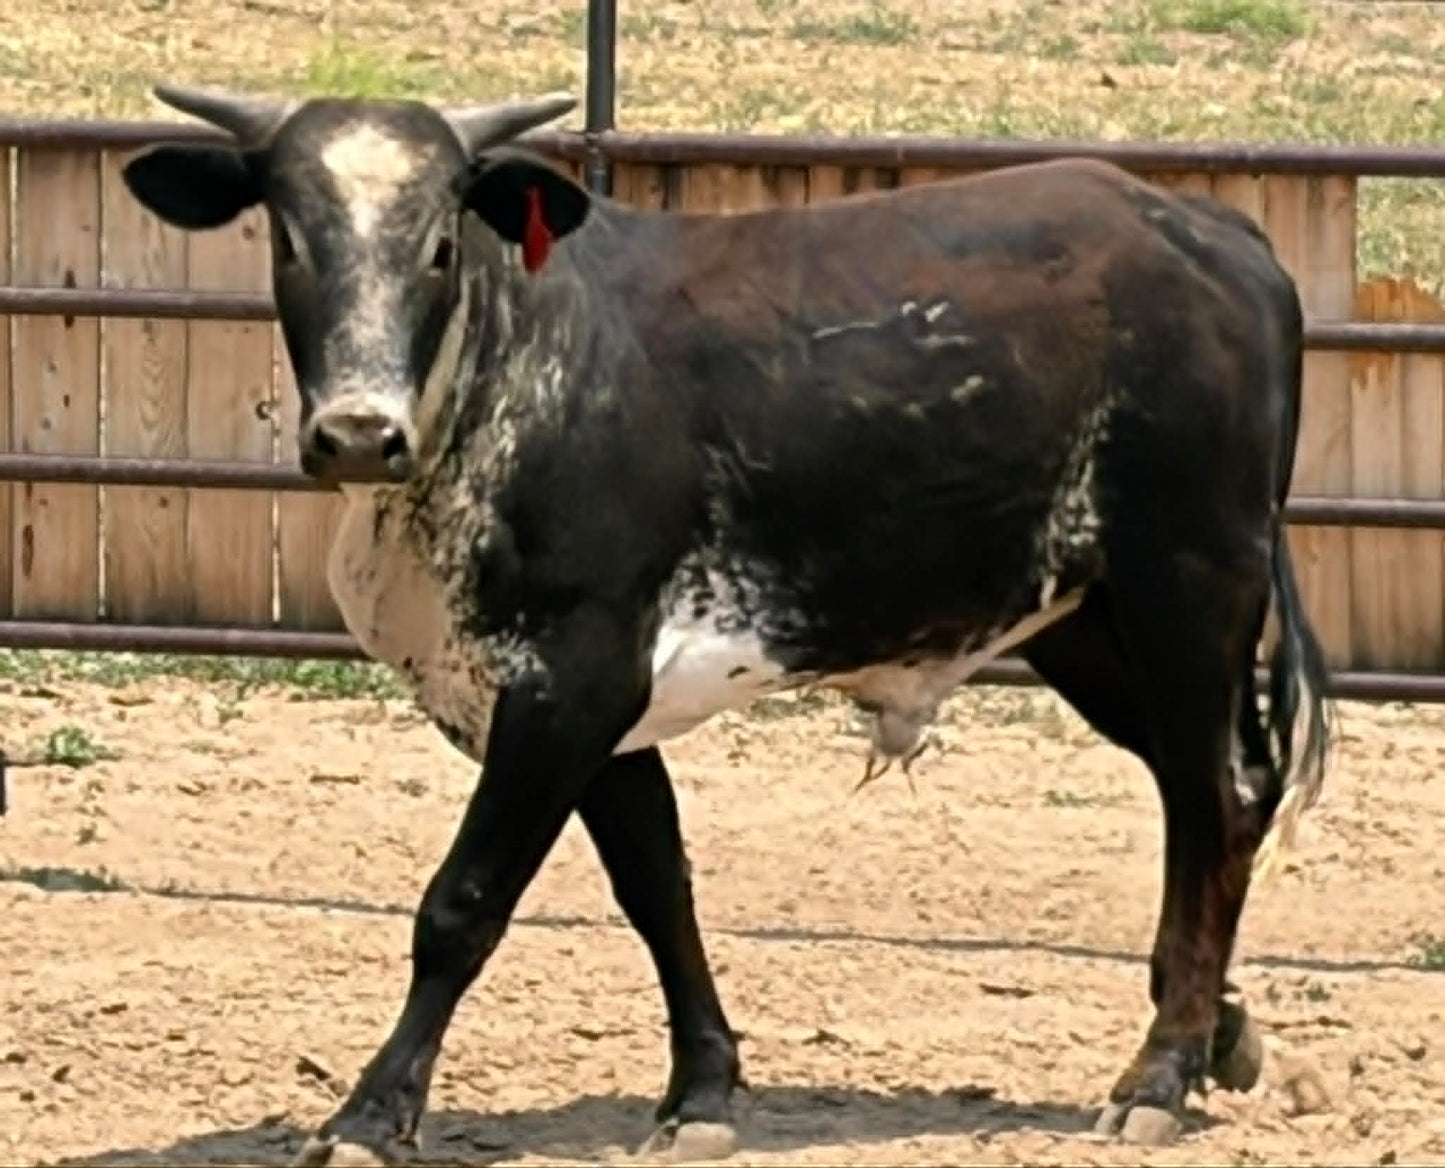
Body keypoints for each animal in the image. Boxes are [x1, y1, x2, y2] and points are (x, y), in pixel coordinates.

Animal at [119, 82, 1333, 1164]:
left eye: (437, 243)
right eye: (289, 236)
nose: (358, 434)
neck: (507, 373)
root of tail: (1213, 232)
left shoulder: (570, 679)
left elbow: (462, 903)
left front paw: (370, 1118)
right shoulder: (601, 712)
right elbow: (657, 885)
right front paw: (699, 1092)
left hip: (1187, 588)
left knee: (1214, 799)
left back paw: (1160, 1072)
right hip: (1085, 622)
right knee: (1214, 799)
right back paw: (1215, 1031)